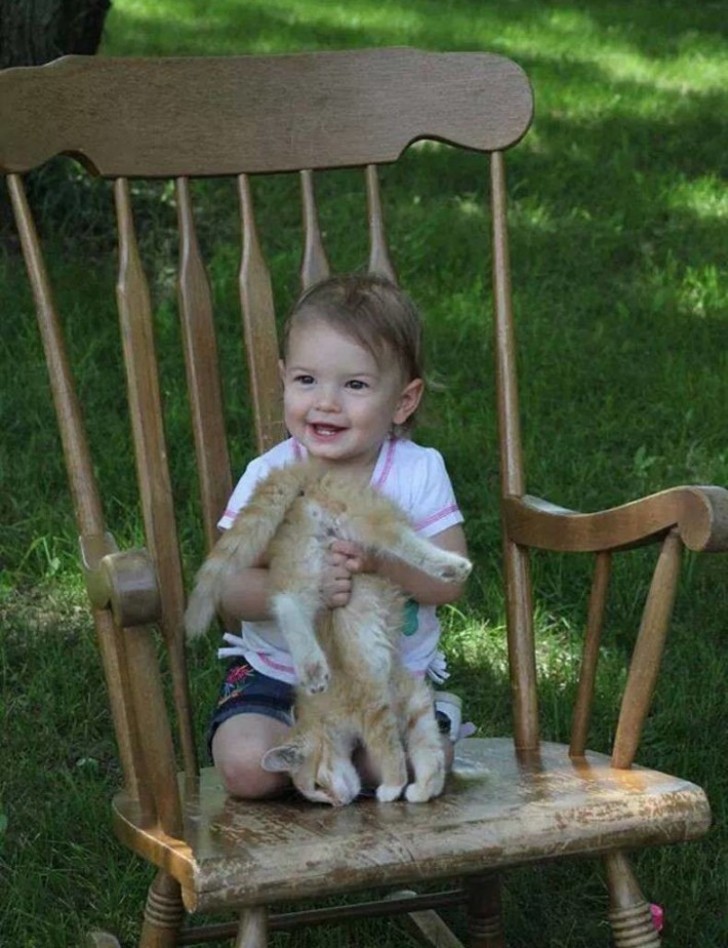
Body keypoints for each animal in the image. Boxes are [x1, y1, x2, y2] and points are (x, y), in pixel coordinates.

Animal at [185, 462, 472, 804]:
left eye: (316, 785)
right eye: (317, 795)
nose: (337, 803)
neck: (323, 715)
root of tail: (308, 474)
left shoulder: (377, 703)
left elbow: (390, 748)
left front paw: (394, 786)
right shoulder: (409, 696)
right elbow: (425, 744)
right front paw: (422, 786)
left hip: (348, 526)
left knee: (401, 540)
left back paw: (450, 566)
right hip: (308, 554)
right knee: (288, 600)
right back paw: (312, 667)